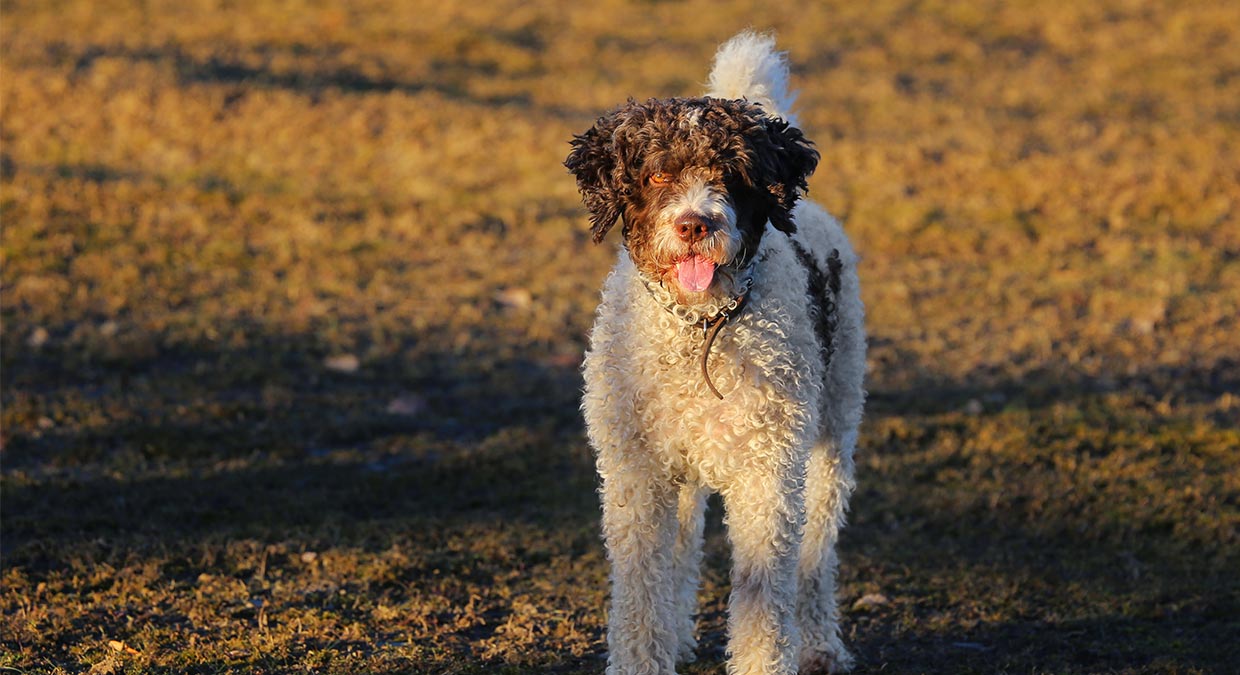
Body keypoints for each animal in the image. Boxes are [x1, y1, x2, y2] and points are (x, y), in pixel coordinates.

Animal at [567, 31, 868, 675]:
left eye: (731, 174)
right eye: (658, 176)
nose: (695, 225)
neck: (697, 328)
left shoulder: (767, 474)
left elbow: (763, 597)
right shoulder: (638, 473)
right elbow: (643, 591)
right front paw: (647, 654)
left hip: (832, 429)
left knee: (816, 554)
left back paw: (819, 644)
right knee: (682, 554)